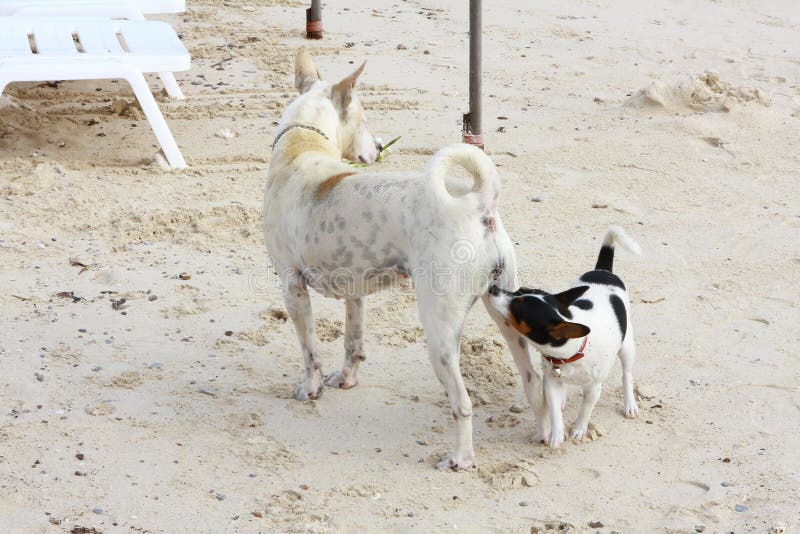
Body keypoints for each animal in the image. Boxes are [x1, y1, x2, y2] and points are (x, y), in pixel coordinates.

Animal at [262, 48, 544, 472]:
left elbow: (310, 350)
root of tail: (481, 205)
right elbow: (353, 340)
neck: (303, 147)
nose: (379, 146)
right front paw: (346, 379)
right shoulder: (354, 290)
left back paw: (460, 457)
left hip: (440, 332)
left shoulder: (292, 287)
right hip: (505, 311)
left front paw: (309, 389)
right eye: (365, 119)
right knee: (533, 378)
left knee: (462, 403)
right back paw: (546, 434)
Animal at [484, 228, 640, 450]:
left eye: (517, 308)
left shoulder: (594, 389)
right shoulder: (550, 382)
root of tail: (603, 271)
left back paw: (630, 404)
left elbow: (585, 410)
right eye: (519, 291)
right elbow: (553, 409)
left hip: (627, 348)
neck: (575, 350)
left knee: (627, 375)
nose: (492, 289)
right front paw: (556, 433)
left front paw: (579, 430)